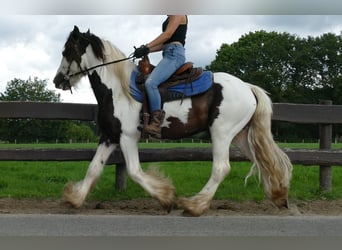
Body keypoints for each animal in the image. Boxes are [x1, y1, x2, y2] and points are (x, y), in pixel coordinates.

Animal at [52, 25, 292, 217]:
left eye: (66, 51)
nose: (57, 81)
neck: (118, 90)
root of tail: (248, 87)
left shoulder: (128, 137)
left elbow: (134, 171)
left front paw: (166, 197)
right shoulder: (110, 136)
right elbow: (94, 169)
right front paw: (74, 199)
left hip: (221, 133)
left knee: (221, 168)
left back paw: (195, 205)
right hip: (240, 136)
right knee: (262, 161)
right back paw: (279, 196)